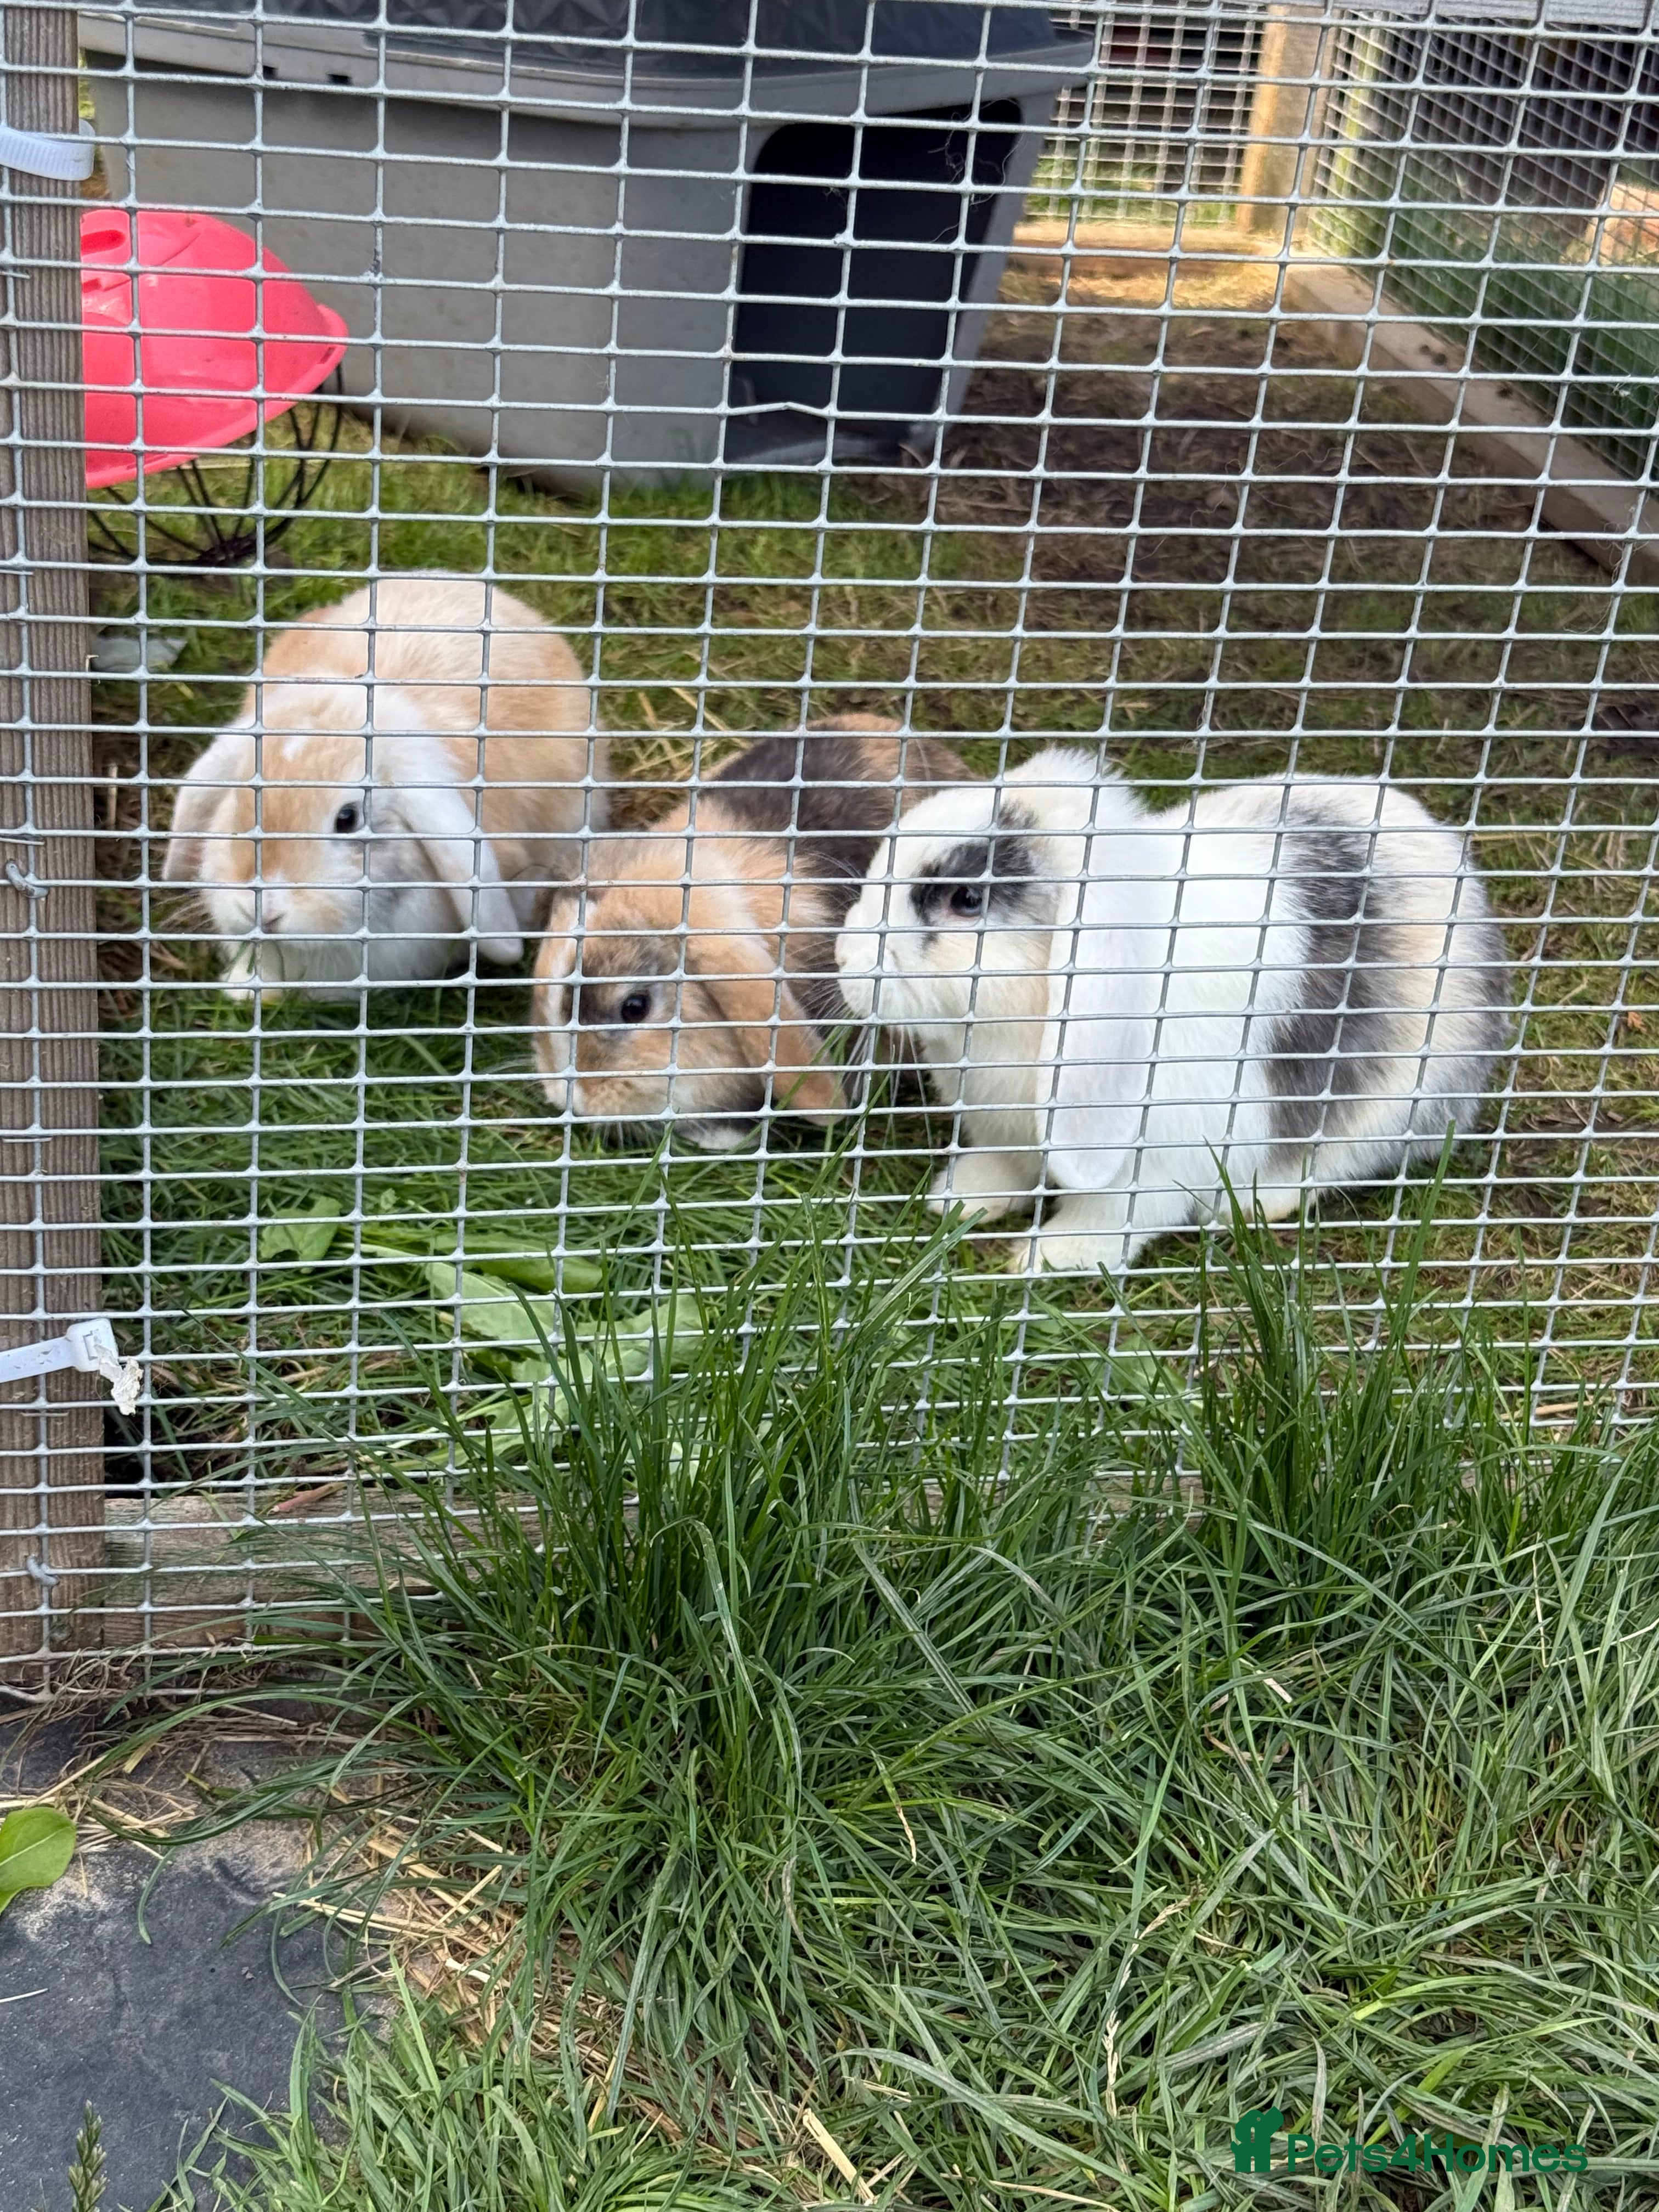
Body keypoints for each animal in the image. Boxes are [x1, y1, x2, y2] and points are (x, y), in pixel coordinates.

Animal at [835, 746, 1512, 1275]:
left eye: (966, 900)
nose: (845, 957)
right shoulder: (1005, 1133)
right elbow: (1005, 1170)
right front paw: (958, 1199)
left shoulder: (1154, 1161)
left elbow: (1110, 1216)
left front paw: (1047, 1257)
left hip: (1397, 1103)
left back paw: (1251, 1206)